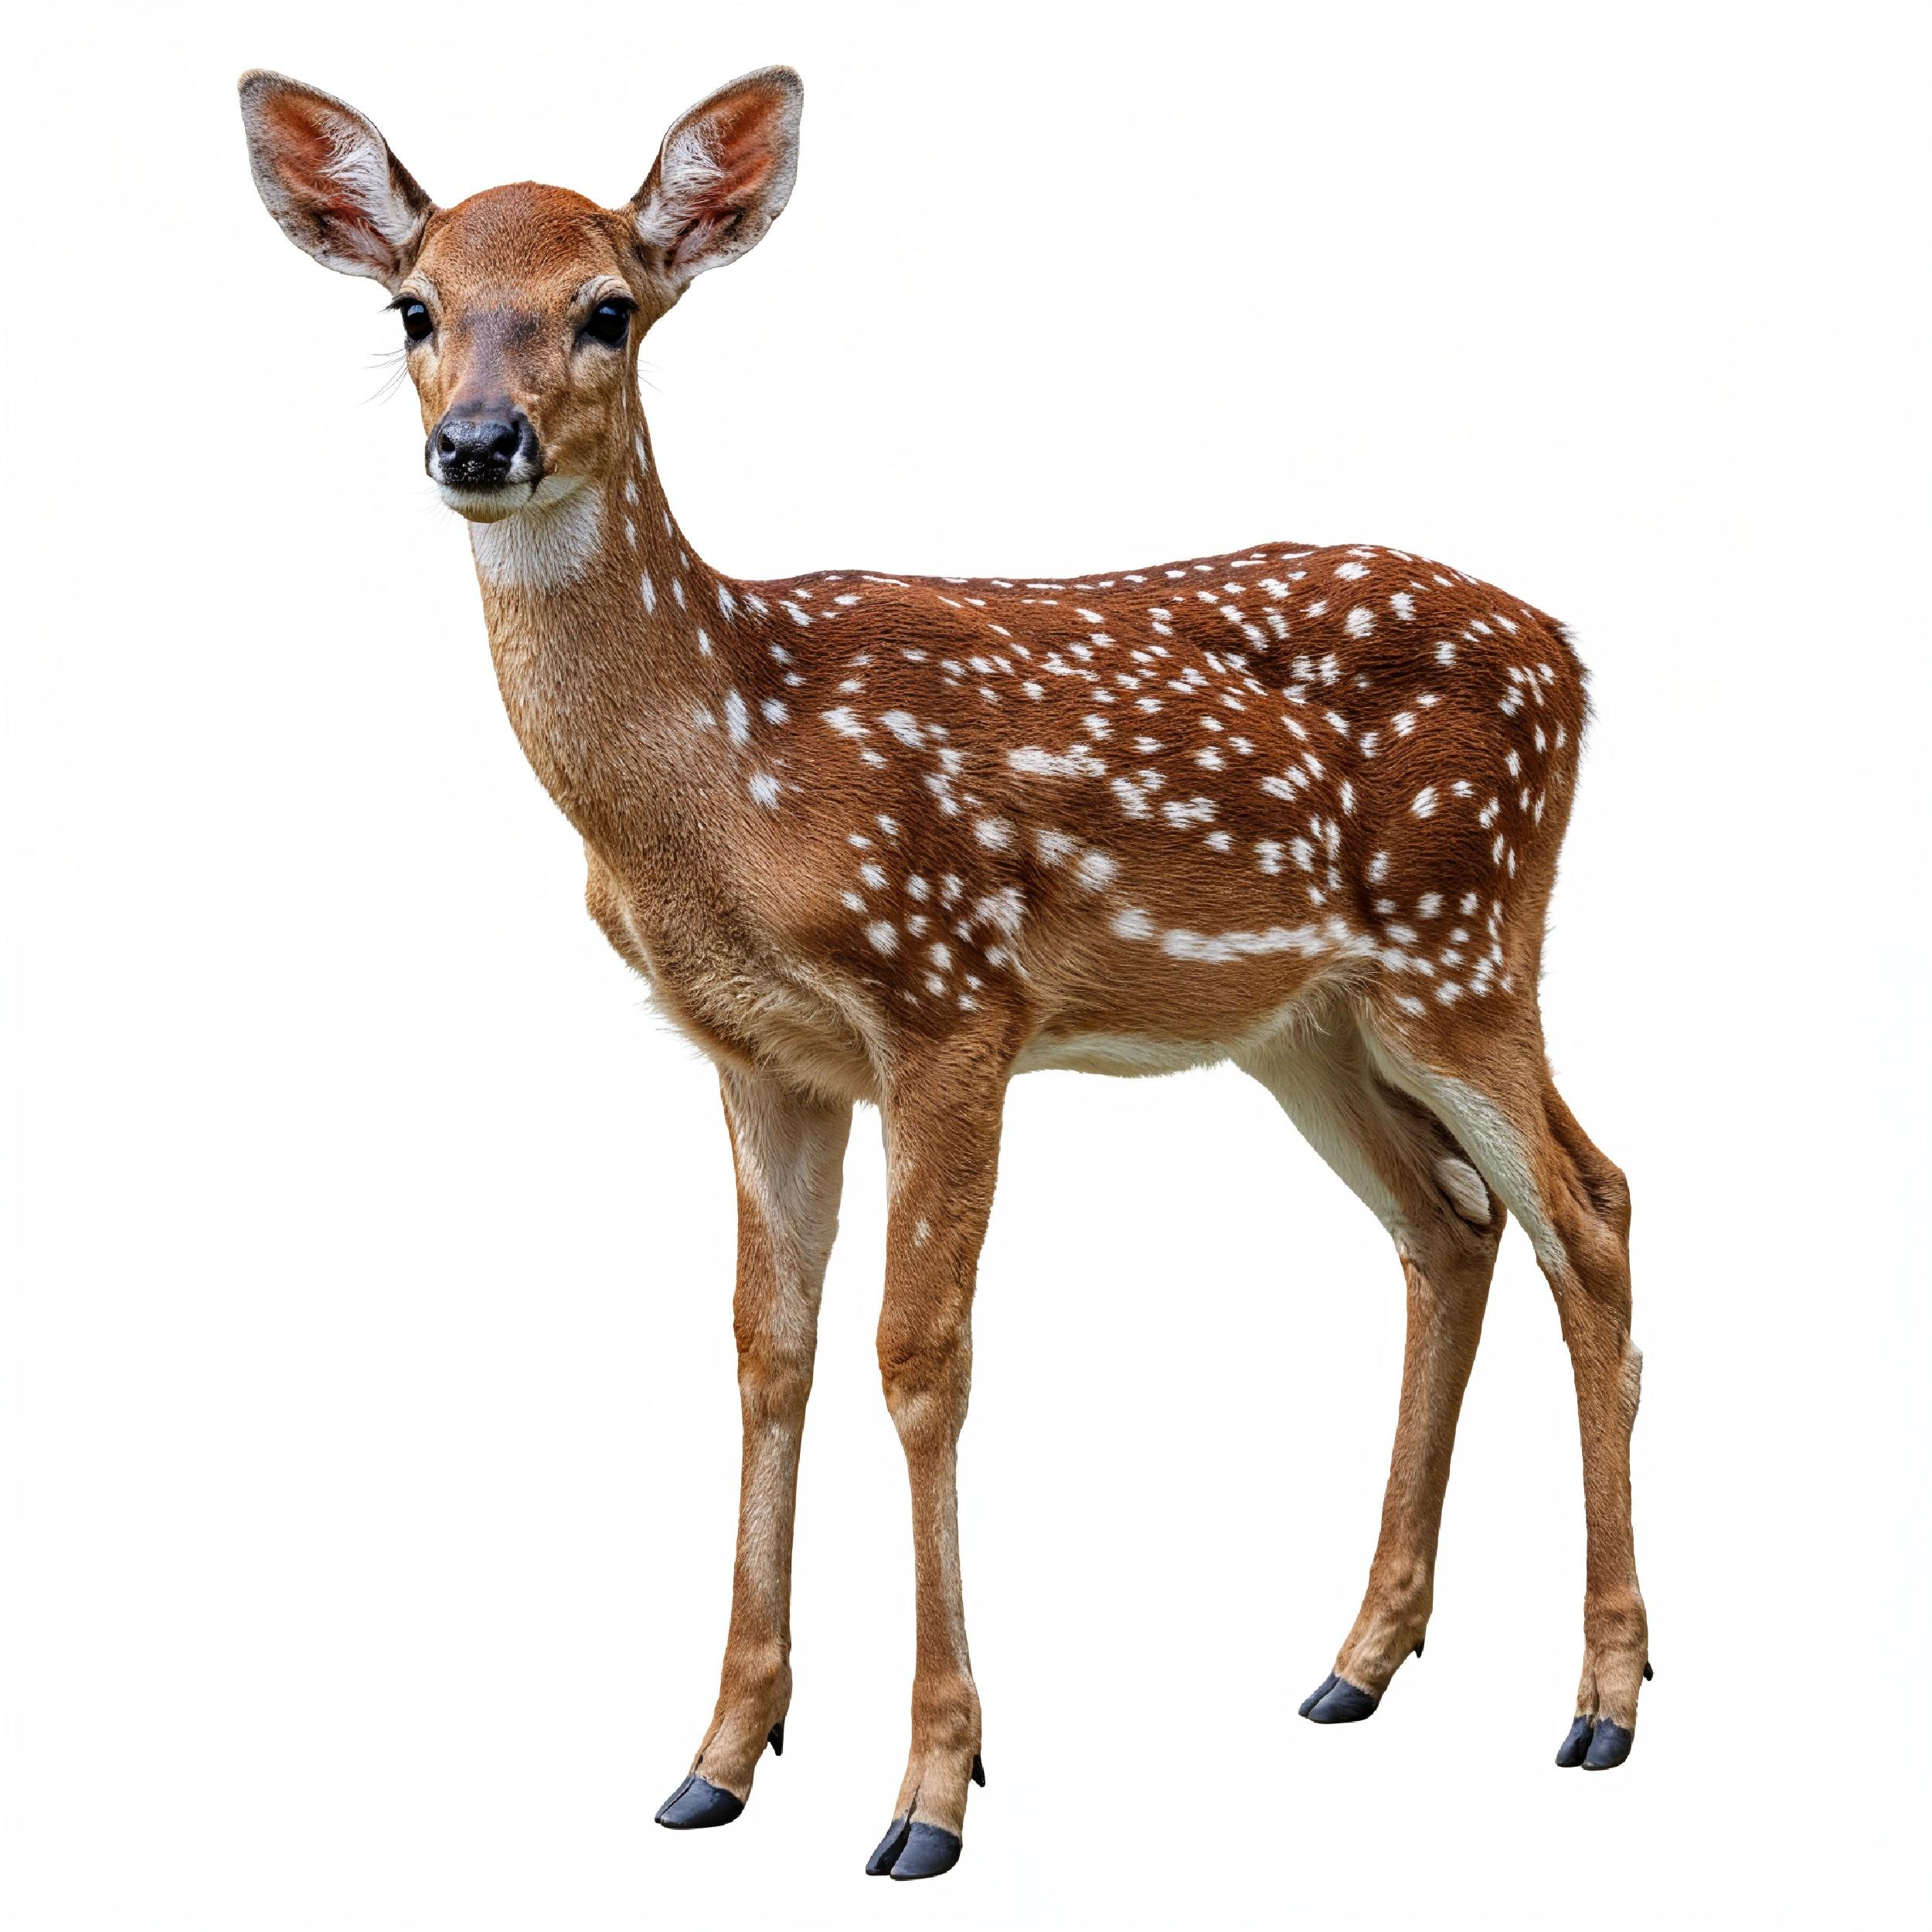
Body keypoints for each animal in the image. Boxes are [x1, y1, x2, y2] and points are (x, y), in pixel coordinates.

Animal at [239, 63, 1650, 1880]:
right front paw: (717, 1757)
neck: (729, 771)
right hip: (1307, 1019)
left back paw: (1603, 1698)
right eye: (414, 308)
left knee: (1589, 1210)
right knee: (1449, 1223)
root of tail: (1569, 653)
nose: (479, 443)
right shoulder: (759, 1054)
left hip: (1460, 935)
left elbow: (922, 1358)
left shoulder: (949, 995)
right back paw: (1357, 1661)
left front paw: (929, 1791)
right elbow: (767, 1348)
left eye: (607, 308)